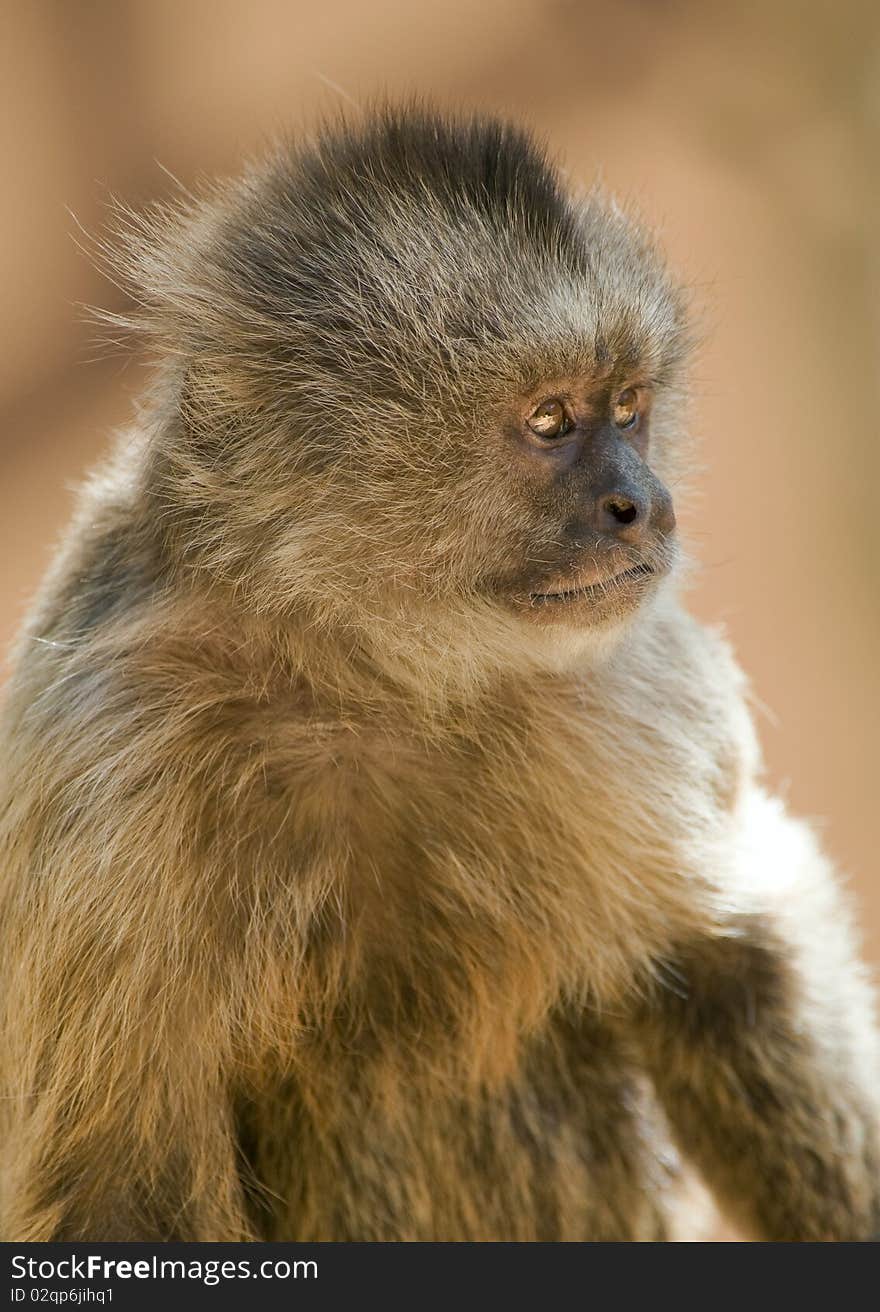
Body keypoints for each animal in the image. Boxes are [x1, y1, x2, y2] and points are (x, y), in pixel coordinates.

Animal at [1, 104, 880, 1238]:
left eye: (630, 407)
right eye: (550, 420)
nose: (646, 504)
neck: (372, 676)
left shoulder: (631, 695)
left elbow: (734, 957)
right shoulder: (112, 760)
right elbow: (114, 1177)